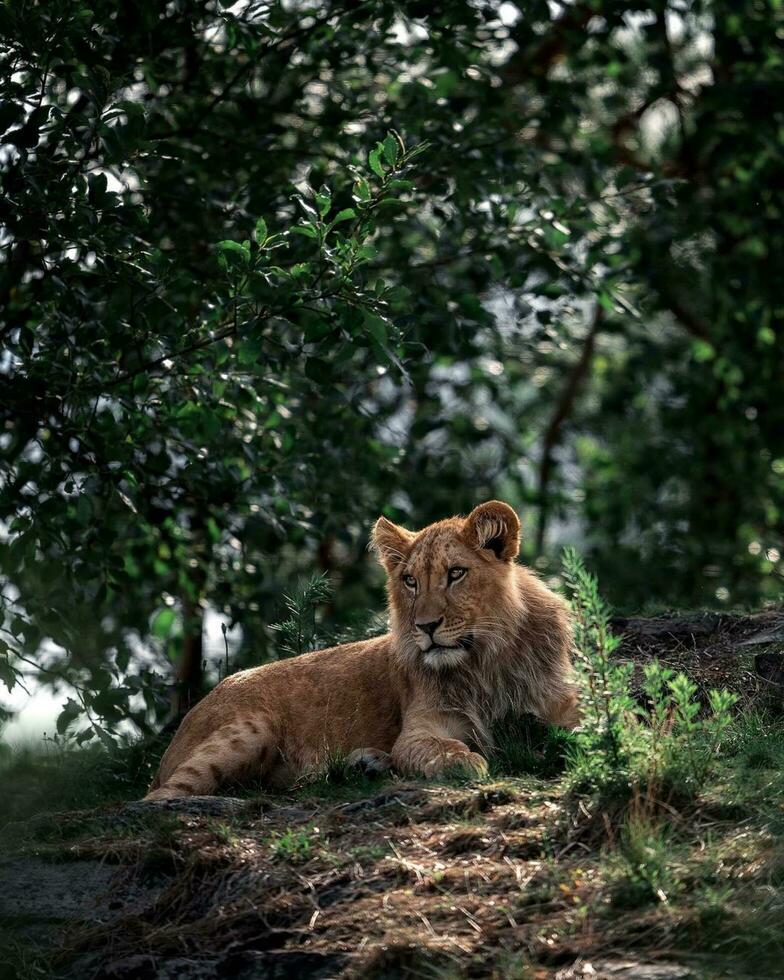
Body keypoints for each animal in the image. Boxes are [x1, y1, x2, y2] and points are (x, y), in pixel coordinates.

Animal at [144, 502, 580, 800]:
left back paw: (365, 765)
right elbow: (440, 749)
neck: (486, 660)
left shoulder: (559, 701)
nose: (426, 627)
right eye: (410, 581)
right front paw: (465, 761)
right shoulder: (419, 731)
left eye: (456, 573)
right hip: (251, 728)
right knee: (160, 798)